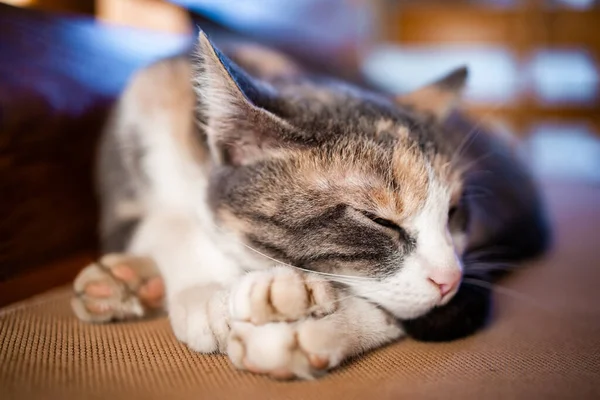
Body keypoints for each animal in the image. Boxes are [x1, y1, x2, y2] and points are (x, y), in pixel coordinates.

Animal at [69, 31, 548, 378]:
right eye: (377, 220)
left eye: (452, 213)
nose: (449, 278)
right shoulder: (139, 133)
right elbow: (170, 224)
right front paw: (210, 292)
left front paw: (288, 308)